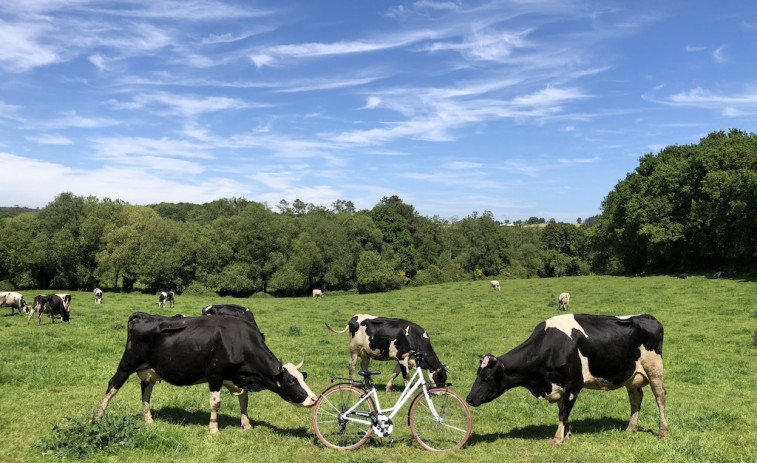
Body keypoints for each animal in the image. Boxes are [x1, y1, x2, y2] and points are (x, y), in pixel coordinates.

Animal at [96, 312, 318, 436]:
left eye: (303, 378)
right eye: (291, 381)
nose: (314, 398)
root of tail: (144, 315)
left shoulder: (238, 379)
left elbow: (244, 402)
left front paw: (247, 425)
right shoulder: (215, 375)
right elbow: (215, 404)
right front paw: (213, 429)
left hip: (150, 370)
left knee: (146, 391)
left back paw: (148, 419)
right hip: (128, 362)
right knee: (112, 386)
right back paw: (97, 417)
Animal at [460, 316, 668, 446]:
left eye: (486, 378)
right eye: (477, 374)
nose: (469, 399)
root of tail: (648, 317)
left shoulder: (574, 383)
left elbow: (563, 412)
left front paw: (558, 438)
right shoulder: (559, 385)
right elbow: (563, 411)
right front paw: (566, 435)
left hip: (655, 370)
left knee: (660, 397)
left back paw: (663, 432)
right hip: (632, 377)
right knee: (636, 399)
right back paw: (630, 429)